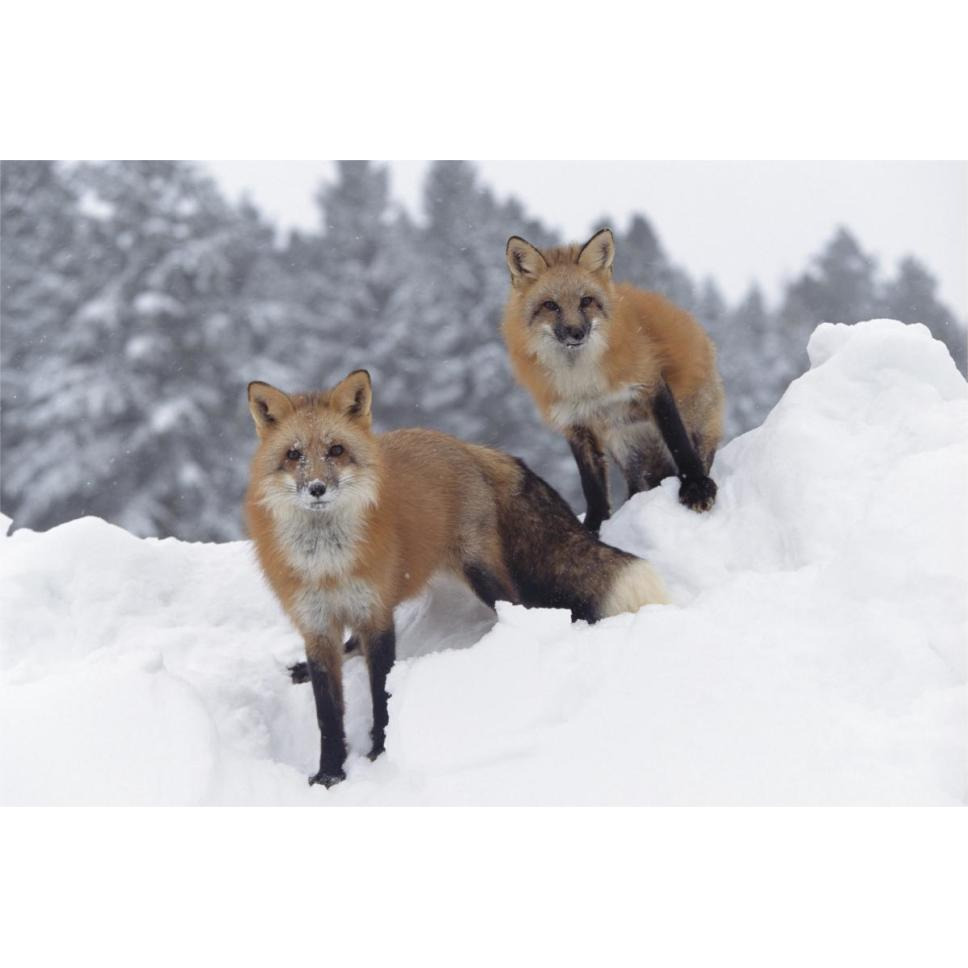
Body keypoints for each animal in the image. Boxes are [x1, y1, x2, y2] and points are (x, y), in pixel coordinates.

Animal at [244, 368, 664, 788]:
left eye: (335, 451)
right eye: (294, 455)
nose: (316, 488)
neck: (328, 565)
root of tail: (465, 445)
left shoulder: (377, 616)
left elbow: (382, 693)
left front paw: (380, 751)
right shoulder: (316, 625)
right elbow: (327, 714)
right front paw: (330, 774)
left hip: (480, 574)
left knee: (520, 608)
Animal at [502, 227, 724, 528]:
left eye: (586, 301)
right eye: (551, 305)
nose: (576, 332)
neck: (582, 381)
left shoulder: (650, 384)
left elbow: (678, 442)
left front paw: (696, 487)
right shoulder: (575, 422)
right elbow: (592, 486)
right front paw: (593, 527)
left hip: (692, 424)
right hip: (628, 449)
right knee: (638, 485)